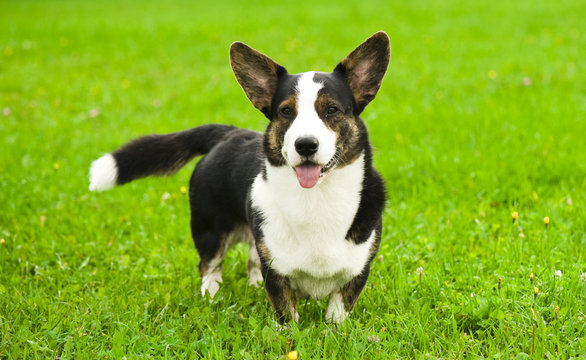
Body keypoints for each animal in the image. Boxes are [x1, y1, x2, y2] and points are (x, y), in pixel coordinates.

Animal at [89, 31, 390, 324]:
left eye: (332, 110)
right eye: (286, 111)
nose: (305, 145)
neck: (315, 198)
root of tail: (228, 133)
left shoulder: (357, 272)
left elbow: (337, 312)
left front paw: (333, 332)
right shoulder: (275, 272)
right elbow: (286, 315)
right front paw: (290, 333)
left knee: (250, 262)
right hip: (209, 229)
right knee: (210, 266)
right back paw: (211, 296)